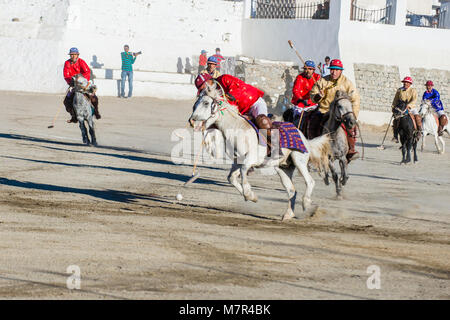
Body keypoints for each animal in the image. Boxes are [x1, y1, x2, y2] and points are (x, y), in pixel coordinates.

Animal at [187, 83, 330, 220]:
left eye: (206, 103)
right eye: (196, 103)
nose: (192, 120)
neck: (238, 129)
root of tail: (303, 136)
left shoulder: (251, 159)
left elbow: (244, 170)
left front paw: (249, 194)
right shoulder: (237, 161)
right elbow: (231, 177)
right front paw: (252, 197)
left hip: (298, 160)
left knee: (310, 182)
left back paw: (307, 205)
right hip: (283, 168)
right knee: (291, 191)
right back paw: (288, 214)